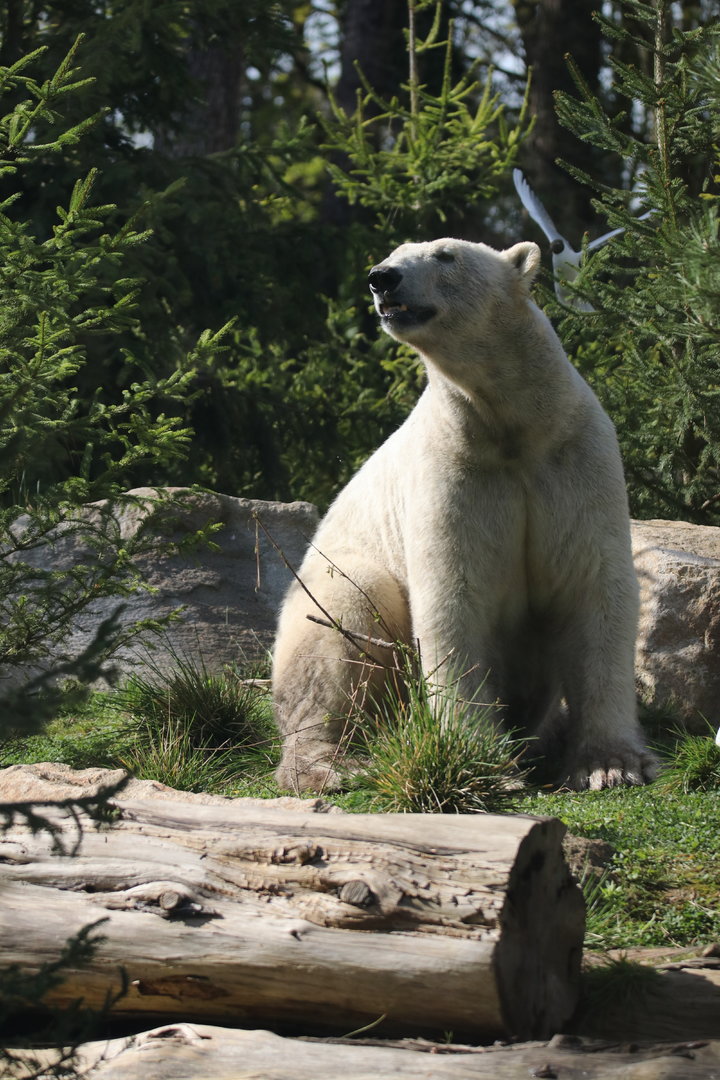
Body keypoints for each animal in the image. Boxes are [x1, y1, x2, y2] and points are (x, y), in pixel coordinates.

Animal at [272, 236, 656, 794]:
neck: (512, 426)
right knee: (342, 617)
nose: (381, 277)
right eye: (395, 252)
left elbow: (592, 586)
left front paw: (609, 765)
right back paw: (329, 766)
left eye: (445, 255)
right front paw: (481, 756)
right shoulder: (454, 471)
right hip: (329, 586)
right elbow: (454, 598)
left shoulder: (576, 461)